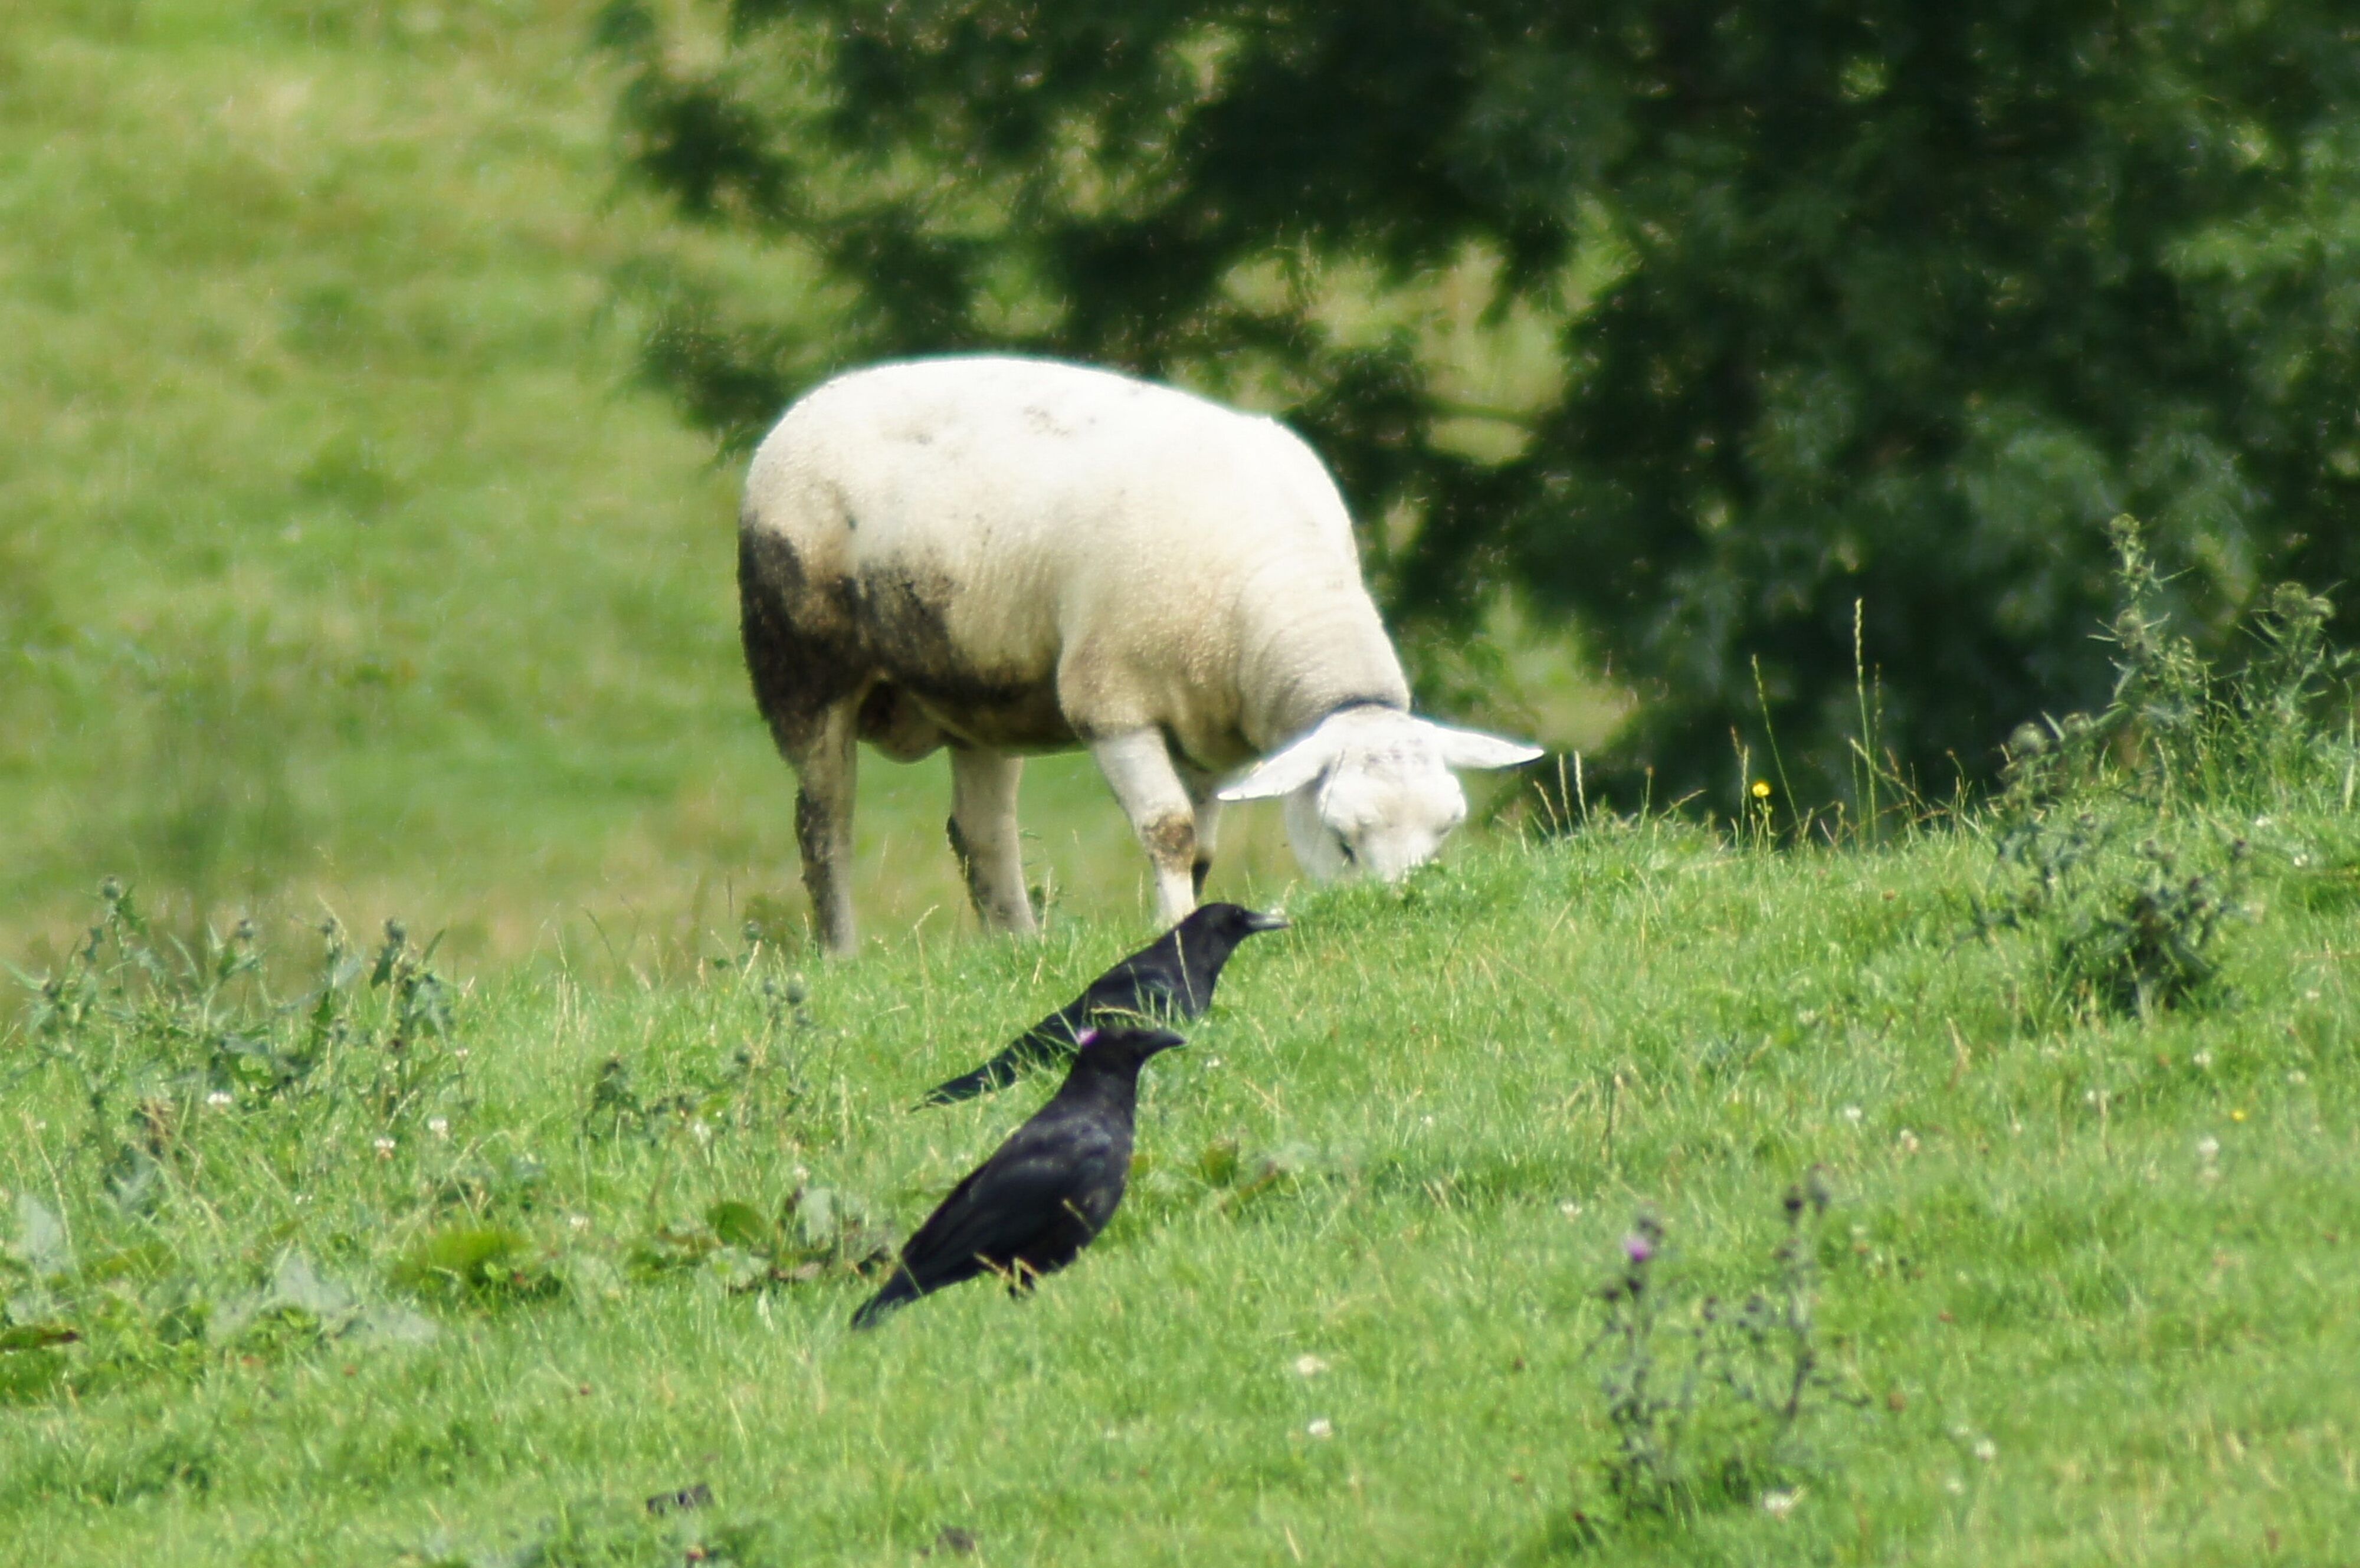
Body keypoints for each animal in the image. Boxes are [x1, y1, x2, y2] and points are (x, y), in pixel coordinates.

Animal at [737, 354, 1541, 956]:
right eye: (1343, 841)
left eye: (1445, 828)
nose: (1402, 913)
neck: (1276, 583)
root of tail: (806, 408)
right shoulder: (1110, 699)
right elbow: (1169, 831)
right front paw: (1173, 927)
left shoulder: (1211, 727)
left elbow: (1204, 847)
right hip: (801, 667)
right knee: (825, 826)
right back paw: (841, 955)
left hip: (977, 689)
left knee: (980, 832)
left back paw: (1018, 947)